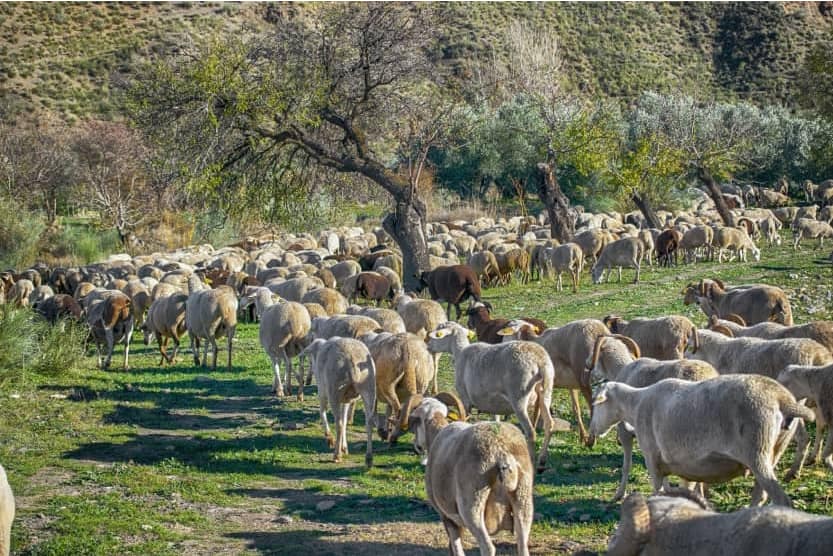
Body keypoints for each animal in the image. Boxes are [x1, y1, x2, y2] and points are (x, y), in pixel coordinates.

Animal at [300, 336, 376, 466]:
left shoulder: (322, 390)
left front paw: (330, 438)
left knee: (338, 423)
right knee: (369, 423)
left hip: (334, 390)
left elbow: (322, 412)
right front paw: (344, 447)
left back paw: (336, 455)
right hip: (369, 388)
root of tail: (352, 359)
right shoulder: (346, 400)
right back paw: (369, 458)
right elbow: (345, 420)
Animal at [592, 374, 812, 508]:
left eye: (597, 404)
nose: (593, 430)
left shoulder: (652, 458)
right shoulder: (679, 462)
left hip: (757, 450)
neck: (636, 404)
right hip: (775, 449)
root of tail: (782, 398)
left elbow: (659, 490)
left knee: (781, 500)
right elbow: (682, 489)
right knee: (761, 496)